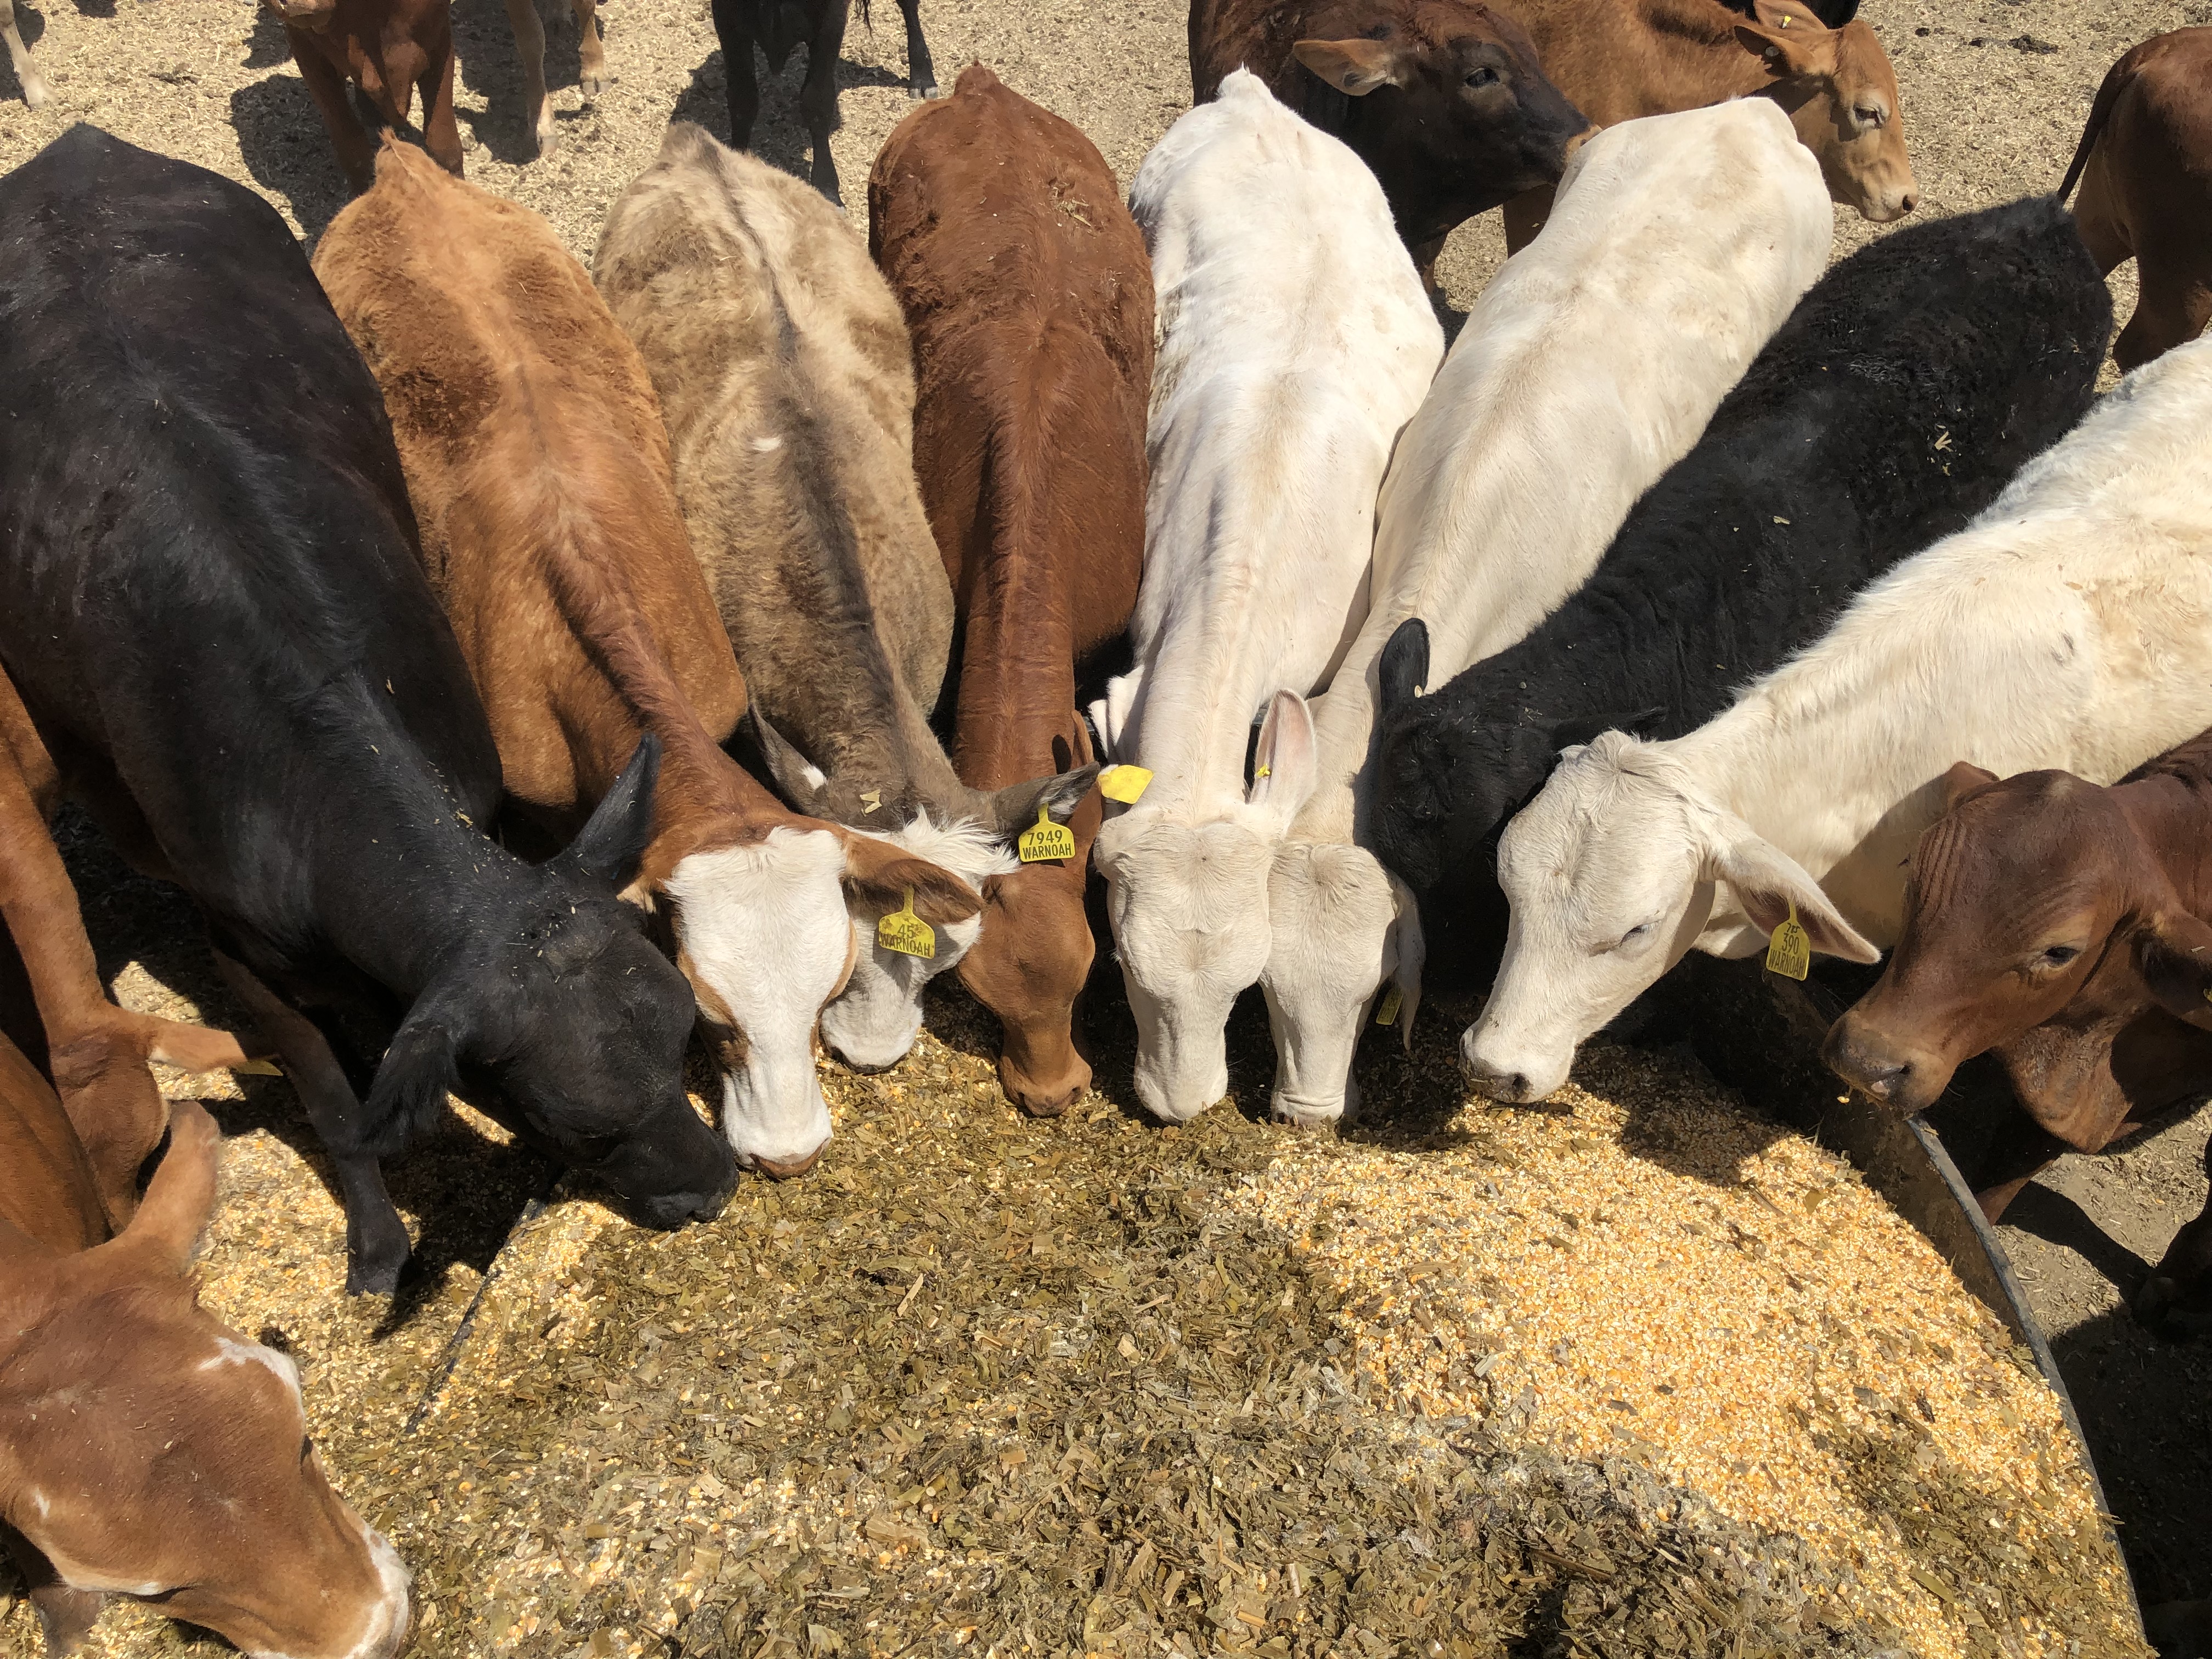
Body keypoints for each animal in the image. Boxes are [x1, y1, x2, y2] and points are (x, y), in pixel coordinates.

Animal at [0, 127, 735, 1295]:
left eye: (679, 1038)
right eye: (572, 1121)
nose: (711, 1188)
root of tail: (76, 149)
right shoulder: (239, 941)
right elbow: (331, 1097)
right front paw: (379, 1237)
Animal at [262, 0, 601, 188]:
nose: (297, 4)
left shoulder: (438, 42)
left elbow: (443, 142)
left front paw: (594, 69)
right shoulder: (306, 49)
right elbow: (353, 151)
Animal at [713, 0, 939, 207]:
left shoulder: (831, 22)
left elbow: (816, 100)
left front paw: (827, 190)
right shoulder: (727, 20)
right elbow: (743, 98)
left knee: (909, 7)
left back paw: (923, 79)